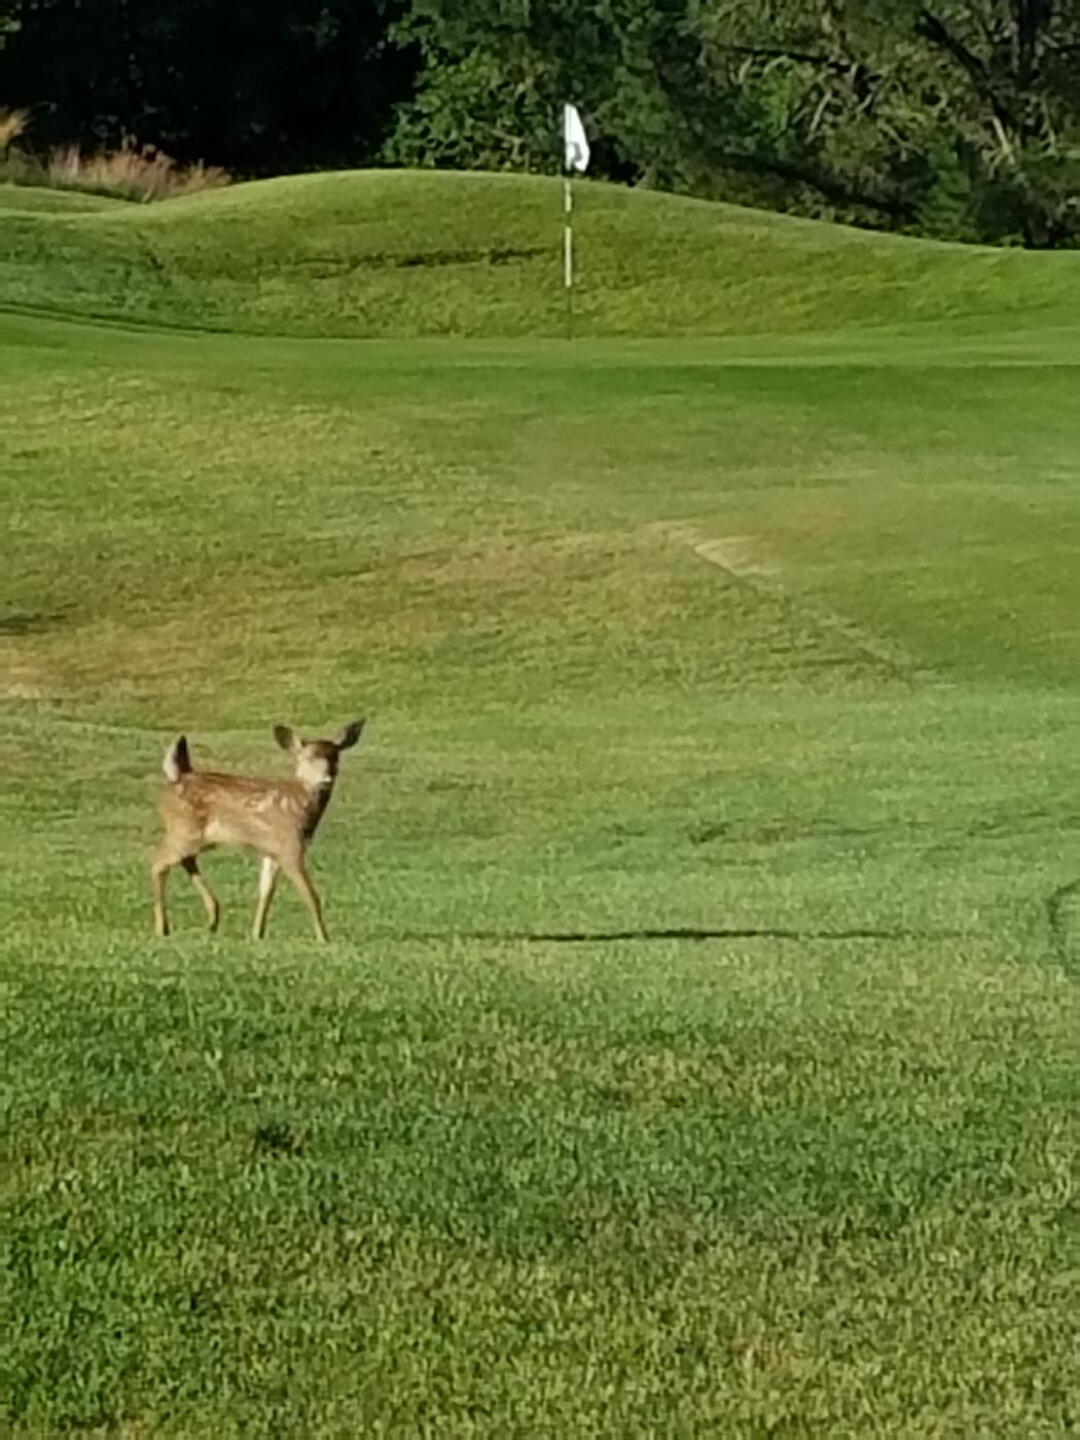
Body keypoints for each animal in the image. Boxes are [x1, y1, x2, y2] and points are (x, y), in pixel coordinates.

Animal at [151, 720, 365, 942]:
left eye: (335, 756)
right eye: (309, 757)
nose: (327, 778)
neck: (300, 806)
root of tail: (177, 777)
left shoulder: (272, 851)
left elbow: (266, 891)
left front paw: (257, 934)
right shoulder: (289, 846)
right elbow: (310, 895)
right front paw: (324, 939)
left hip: (196, 836)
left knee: (185, 860)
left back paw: (212, 918)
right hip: (183, 830)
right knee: (158, 863)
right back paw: (162, 928)